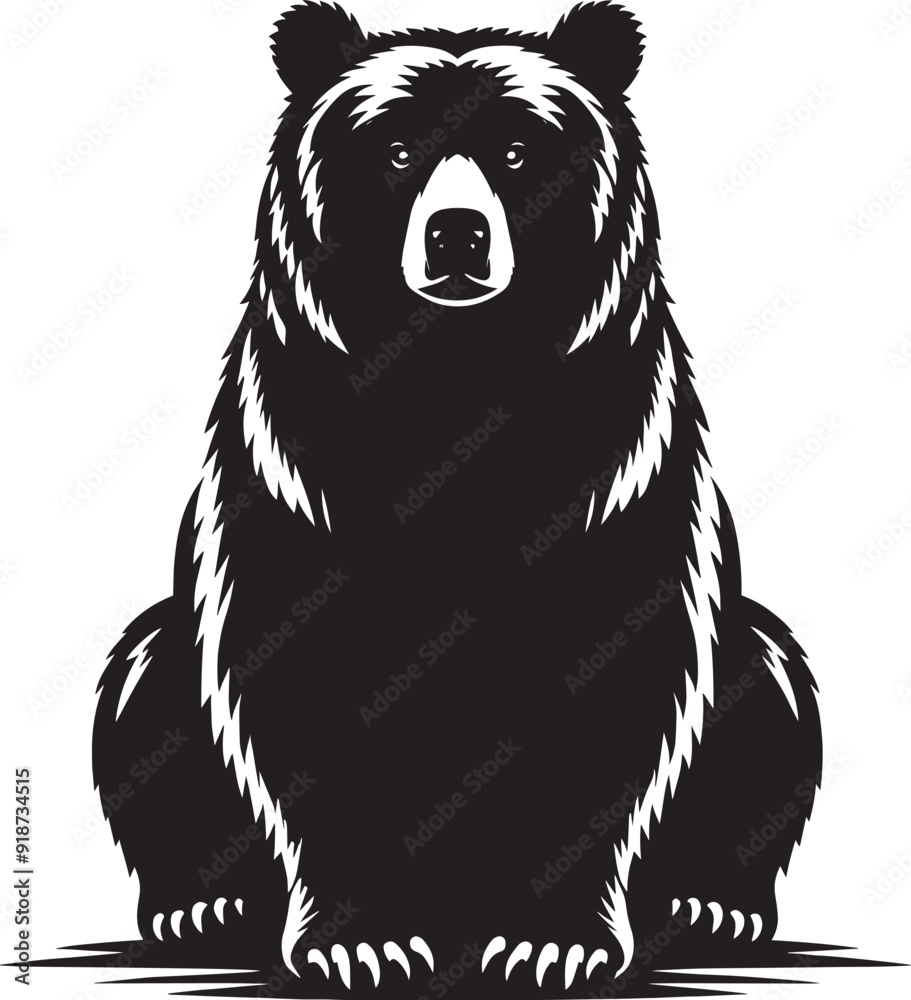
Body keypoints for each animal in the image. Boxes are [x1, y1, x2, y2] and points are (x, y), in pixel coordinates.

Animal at [92, 1, 823, 993]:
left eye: (515, 150)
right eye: (397, 150)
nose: (456, 236)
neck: (455, 381)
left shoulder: (611, 475)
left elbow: (614, 689)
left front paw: (549, 942)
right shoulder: (301, 476)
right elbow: (298, 685)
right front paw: (363, 941)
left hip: (740, 649)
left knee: (769, 681)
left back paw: (710, 900)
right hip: (173, 651)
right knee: (144, 685)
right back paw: (203, 904)